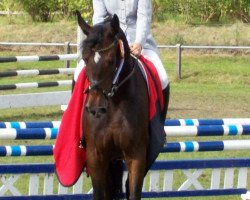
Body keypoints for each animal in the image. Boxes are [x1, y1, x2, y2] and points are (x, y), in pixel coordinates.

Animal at [75, 11, 167, 200]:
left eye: (111, 60)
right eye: (85, 58)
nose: (95, 108)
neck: (114, 106)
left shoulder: (136, 155)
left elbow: (133, 192)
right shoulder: (95, 155)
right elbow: (100, 194)